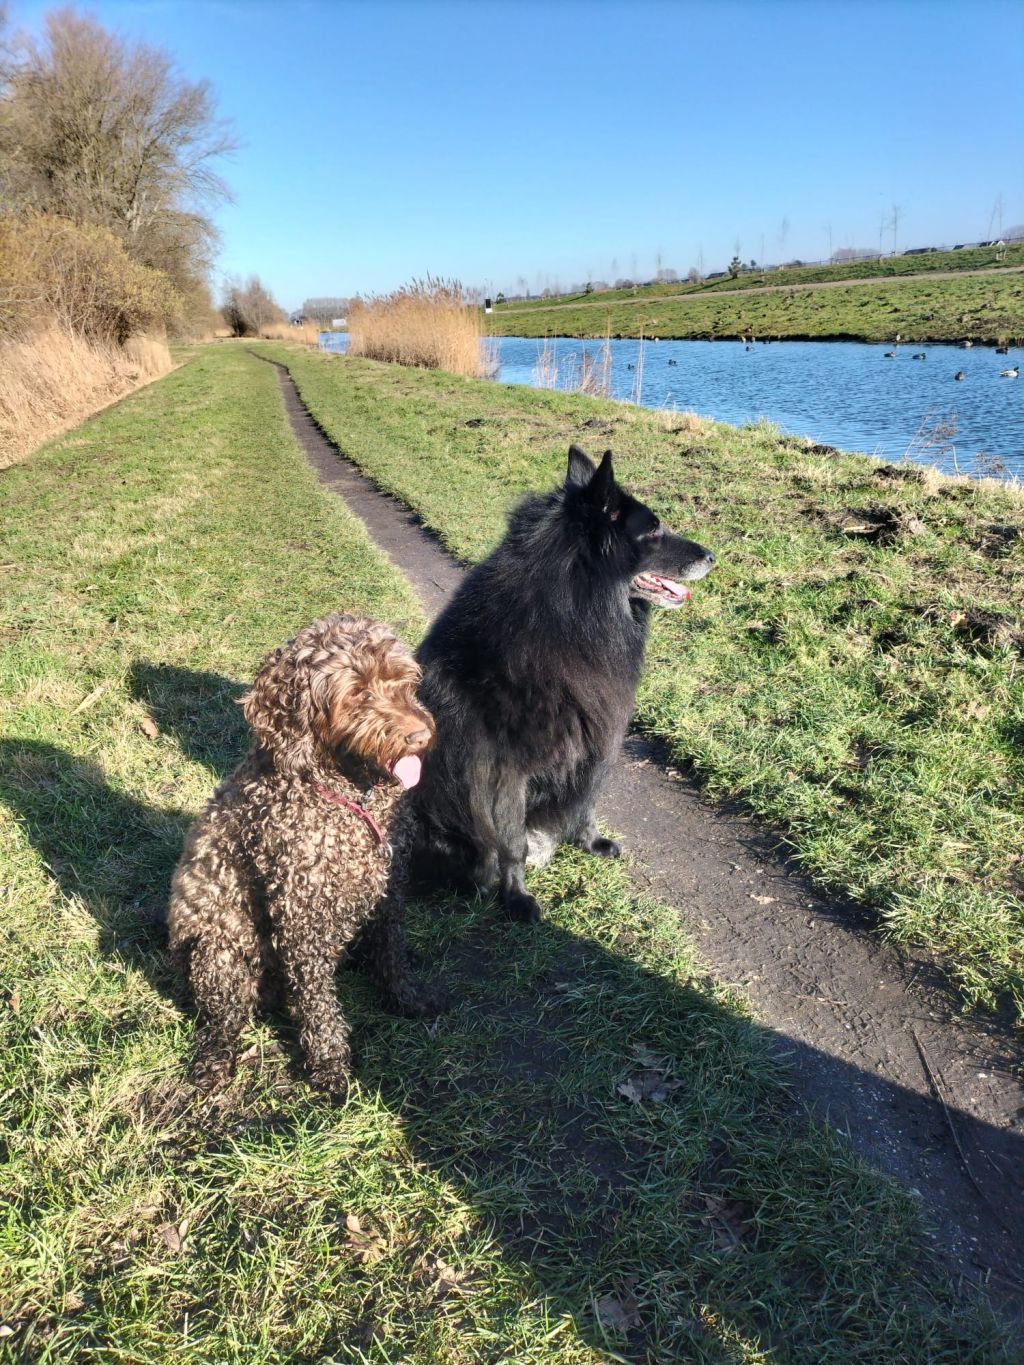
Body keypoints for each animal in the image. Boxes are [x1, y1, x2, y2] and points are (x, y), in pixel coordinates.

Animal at [168, 613, 444, 1094]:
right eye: (357, 692)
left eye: (402, 680)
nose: (420, 735)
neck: (348, 793)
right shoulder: (301, 912)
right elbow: (318, 1004)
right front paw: (330, 1065)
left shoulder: (390, 888)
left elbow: (391, 950)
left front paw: (404, 996)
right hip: (217, 953)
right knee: (225, 1017)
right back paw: (214, 1059)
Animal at [411, 445, 716, 922]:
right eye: (653, 530)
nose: (712, 556)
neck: (575, 609)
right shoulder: (503, 767)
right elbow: (511, 842)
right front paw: (517, 898)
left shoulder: (592, 744)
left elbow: (586, 804)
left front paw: (591, 843)